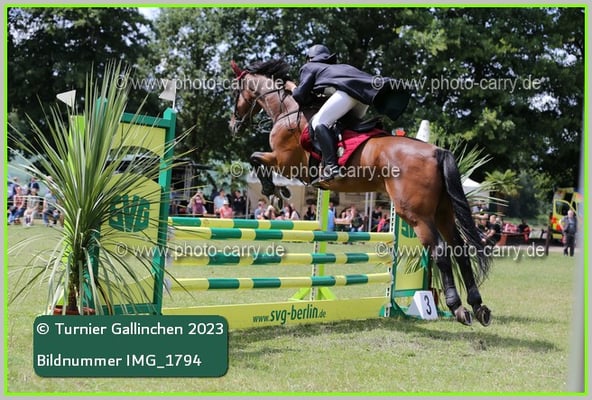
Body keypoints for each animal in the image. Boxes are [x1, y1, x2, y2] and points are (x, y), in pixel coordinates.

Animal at [228, 59, 492, 326]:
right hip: (443, 212)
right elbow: (258, 161)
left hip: (415, 214)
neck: (287, 112)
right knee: (459, 249)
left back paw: (458, 307)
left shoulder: (286, 162)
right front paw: (279, 192)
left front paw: (274, 190)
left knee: (440, 251)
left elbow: (255, 158)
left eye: (235, 92)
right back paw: (478, 306)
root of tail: (437, 151)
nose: (233, 125)